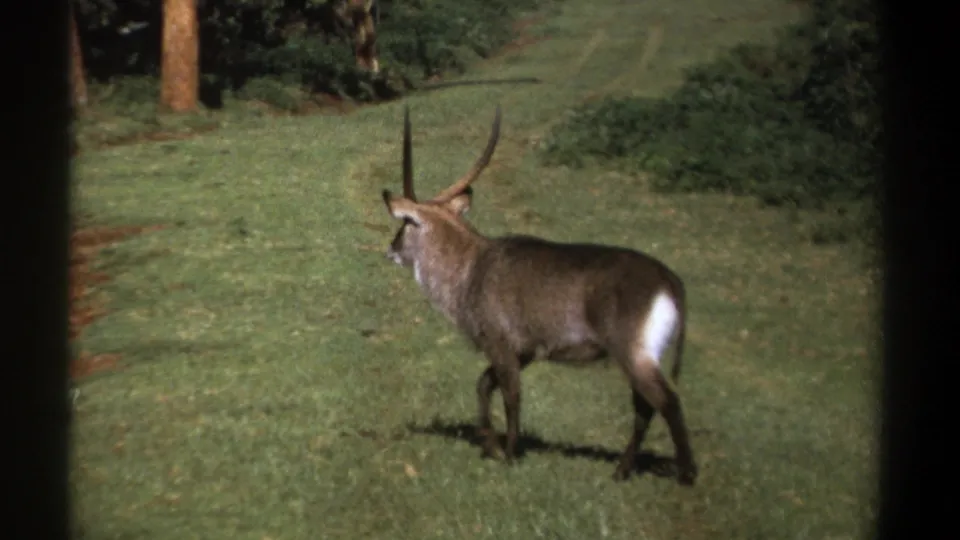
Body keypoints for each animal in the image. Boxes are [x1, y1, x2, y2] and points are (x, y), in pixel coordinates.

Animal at [380, 106, 699, 485]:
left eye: (404, 224)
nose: (390, 249)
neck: (472, 266)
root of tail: (668, 278)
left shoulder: (501, 344)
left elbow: (511, 395)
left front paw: (509, 455)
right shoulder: (525, 351)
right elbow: (483, 385)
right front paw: (491, 445)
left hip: (632, 352)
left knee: (665, 402)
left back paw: (685, 474)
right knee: (646, 406)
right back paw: (622, 471)